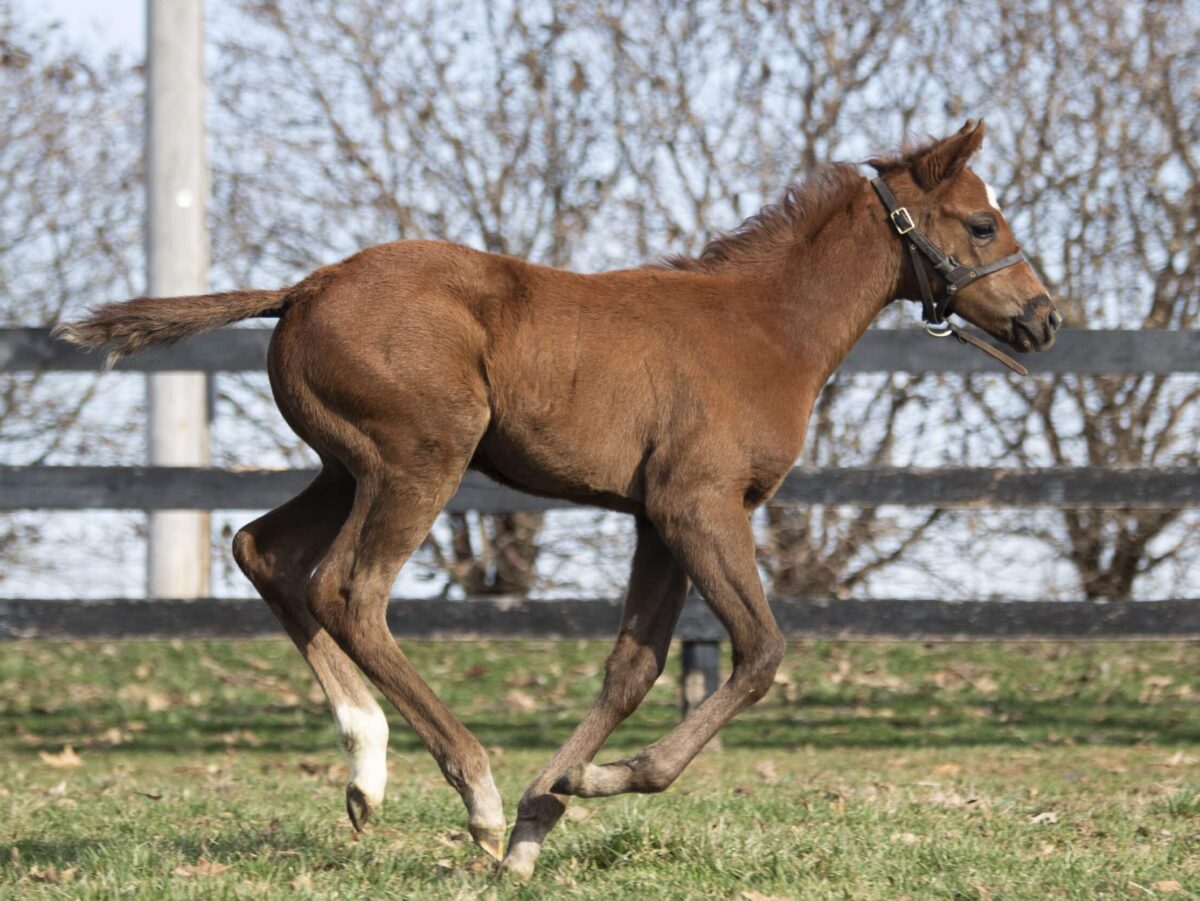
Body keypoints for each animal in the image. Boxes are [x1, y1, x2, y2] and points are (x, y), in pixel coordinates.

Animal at [63, 119, 1060, 873]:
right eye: (981, 224)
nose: (1043, 319)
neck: (763, 327)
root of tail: (305, 286)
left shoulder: (656, 517)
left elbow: (633, 666)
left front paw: (541, 821)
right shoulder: (701, 503)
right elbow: (760, 652)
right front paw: (583, 786)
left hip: (348, 464)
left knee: (263, 551)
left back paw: (368, 771)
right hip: (420, 456)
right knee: (348, 589)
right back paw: (472, 788)